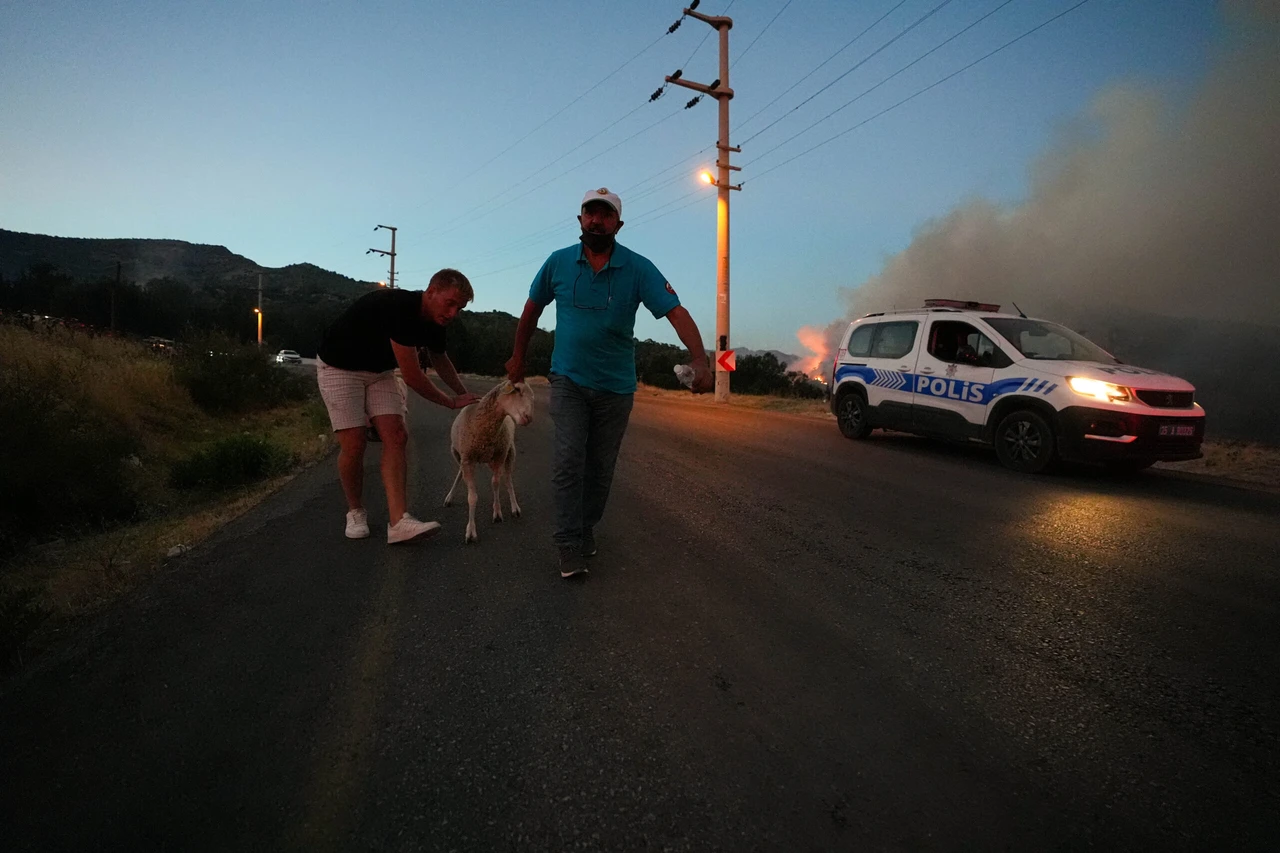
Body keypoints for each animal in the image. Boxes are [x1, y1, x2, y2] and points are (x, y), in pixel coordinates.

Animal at [445, 379, 535, 540]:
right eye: (517, 390)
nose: (528, 417)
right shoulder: (467, 459)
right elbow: (472, 496)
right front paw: (471, 530)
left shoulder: (499, 456)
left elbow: (495, 484)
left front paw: (497, 512)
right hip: (458, 453)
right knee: (460, 473)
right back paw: (450, 496)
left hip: (509, 452)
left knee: (508, 480)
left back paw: (515, 507)